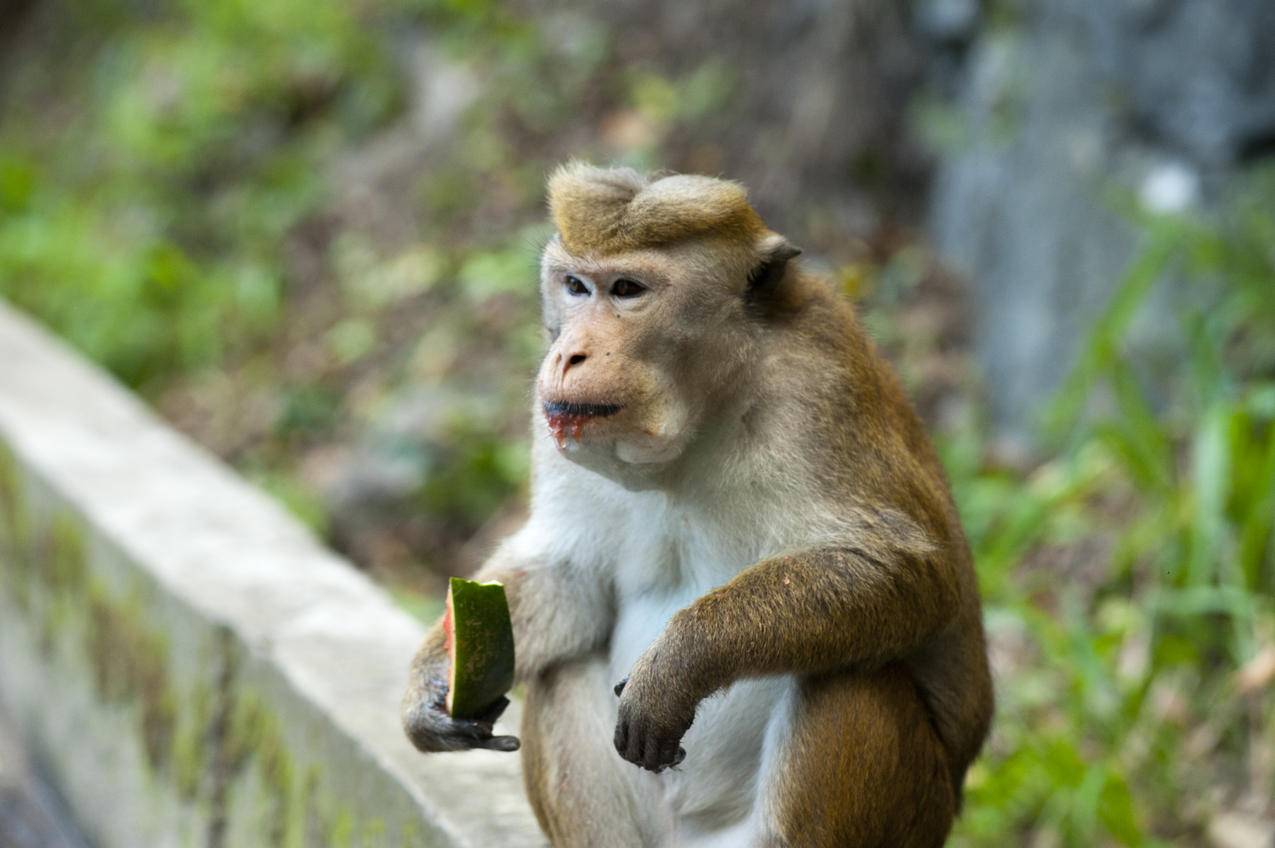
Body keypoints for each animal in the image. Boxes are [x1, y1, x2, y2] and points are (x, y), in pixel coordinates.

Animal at [402, 161, 989, 841]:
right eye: (575, 286)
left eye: (627, 289)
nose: (567, 353)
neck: (704, 412)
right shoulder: (556, 421)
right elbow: (568, 573)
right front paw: (431, 681)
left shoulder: (817, 388)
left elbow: (906, 570)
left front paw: (679, 662)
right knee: (559, 669)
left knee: (852, 677)